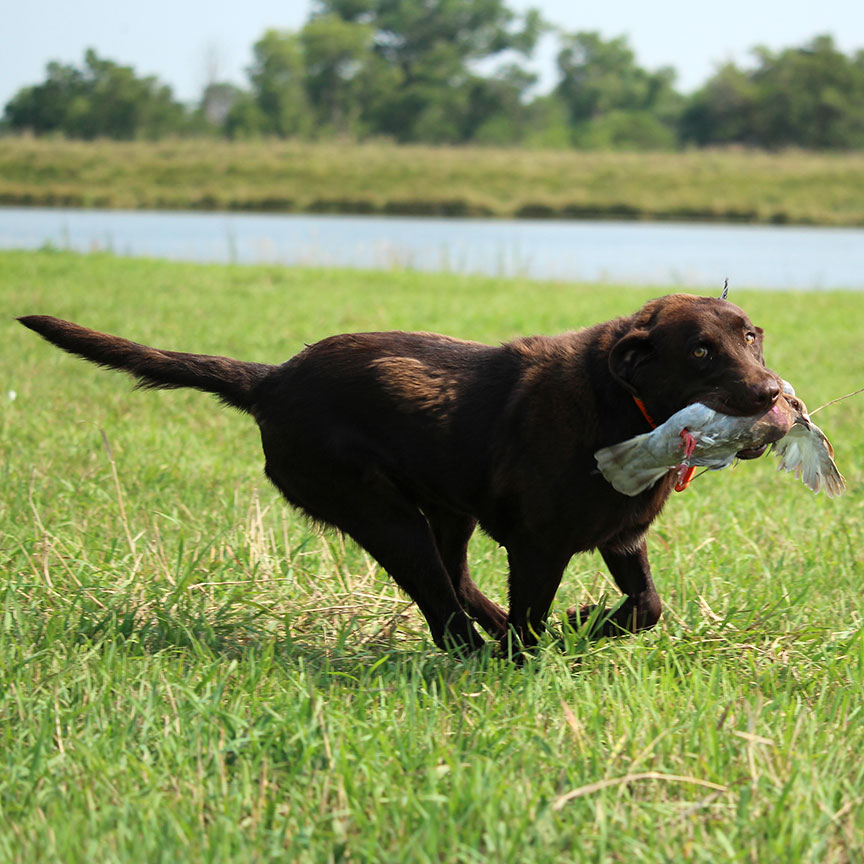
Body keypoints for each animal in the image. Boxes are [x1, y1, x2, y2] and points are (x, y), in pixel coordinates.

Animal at [18, 296, 784, 656]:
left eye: (752, 336)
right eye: (700, 351)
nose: (774, 393)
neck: (618, 405)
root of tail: (272, 380)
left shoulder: (621, 538)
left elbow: (646, 607)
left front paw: (585, 622)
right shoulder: (539, 545)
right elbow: (535, 622)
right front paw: (551, 640)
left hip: (447, 511)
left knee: (457, 586)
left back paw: (495, 631)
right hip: (384, 517)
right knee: (445, 614)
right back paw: (485, 650)